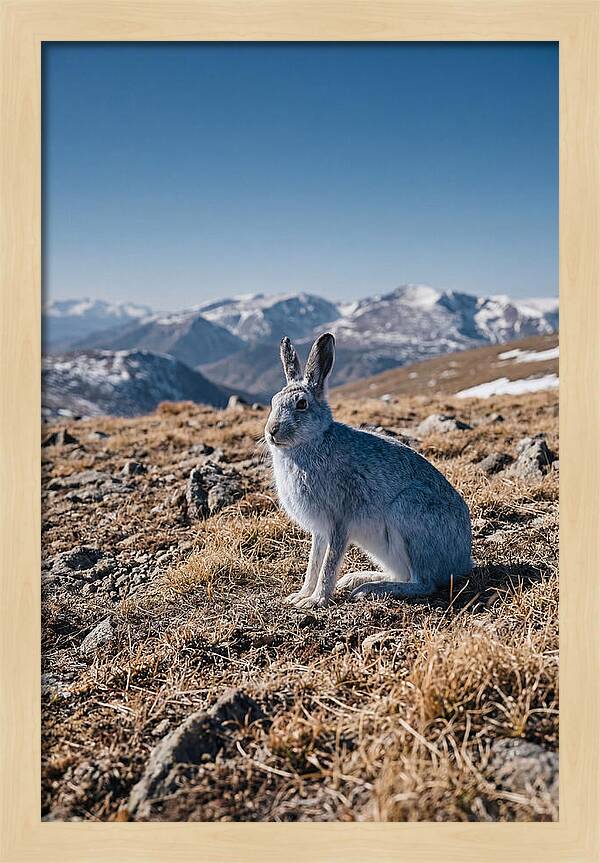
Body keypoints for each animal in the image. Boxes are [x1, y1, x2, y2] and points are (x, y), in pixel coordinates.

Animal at [265, 332, 473, 609]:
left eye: (301, 404)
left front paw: (316, 600)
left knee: (423, 582)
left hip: (409, 514)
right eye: (273, 401)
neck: (312, 442)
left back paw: (371, 589)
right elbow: (314, 563)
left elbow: (328, 564)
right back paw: (357, 579)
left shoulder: (339, 521)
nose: (272, 431)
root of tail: (462, 562)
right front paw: (300, 596)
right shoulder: (320, 531)